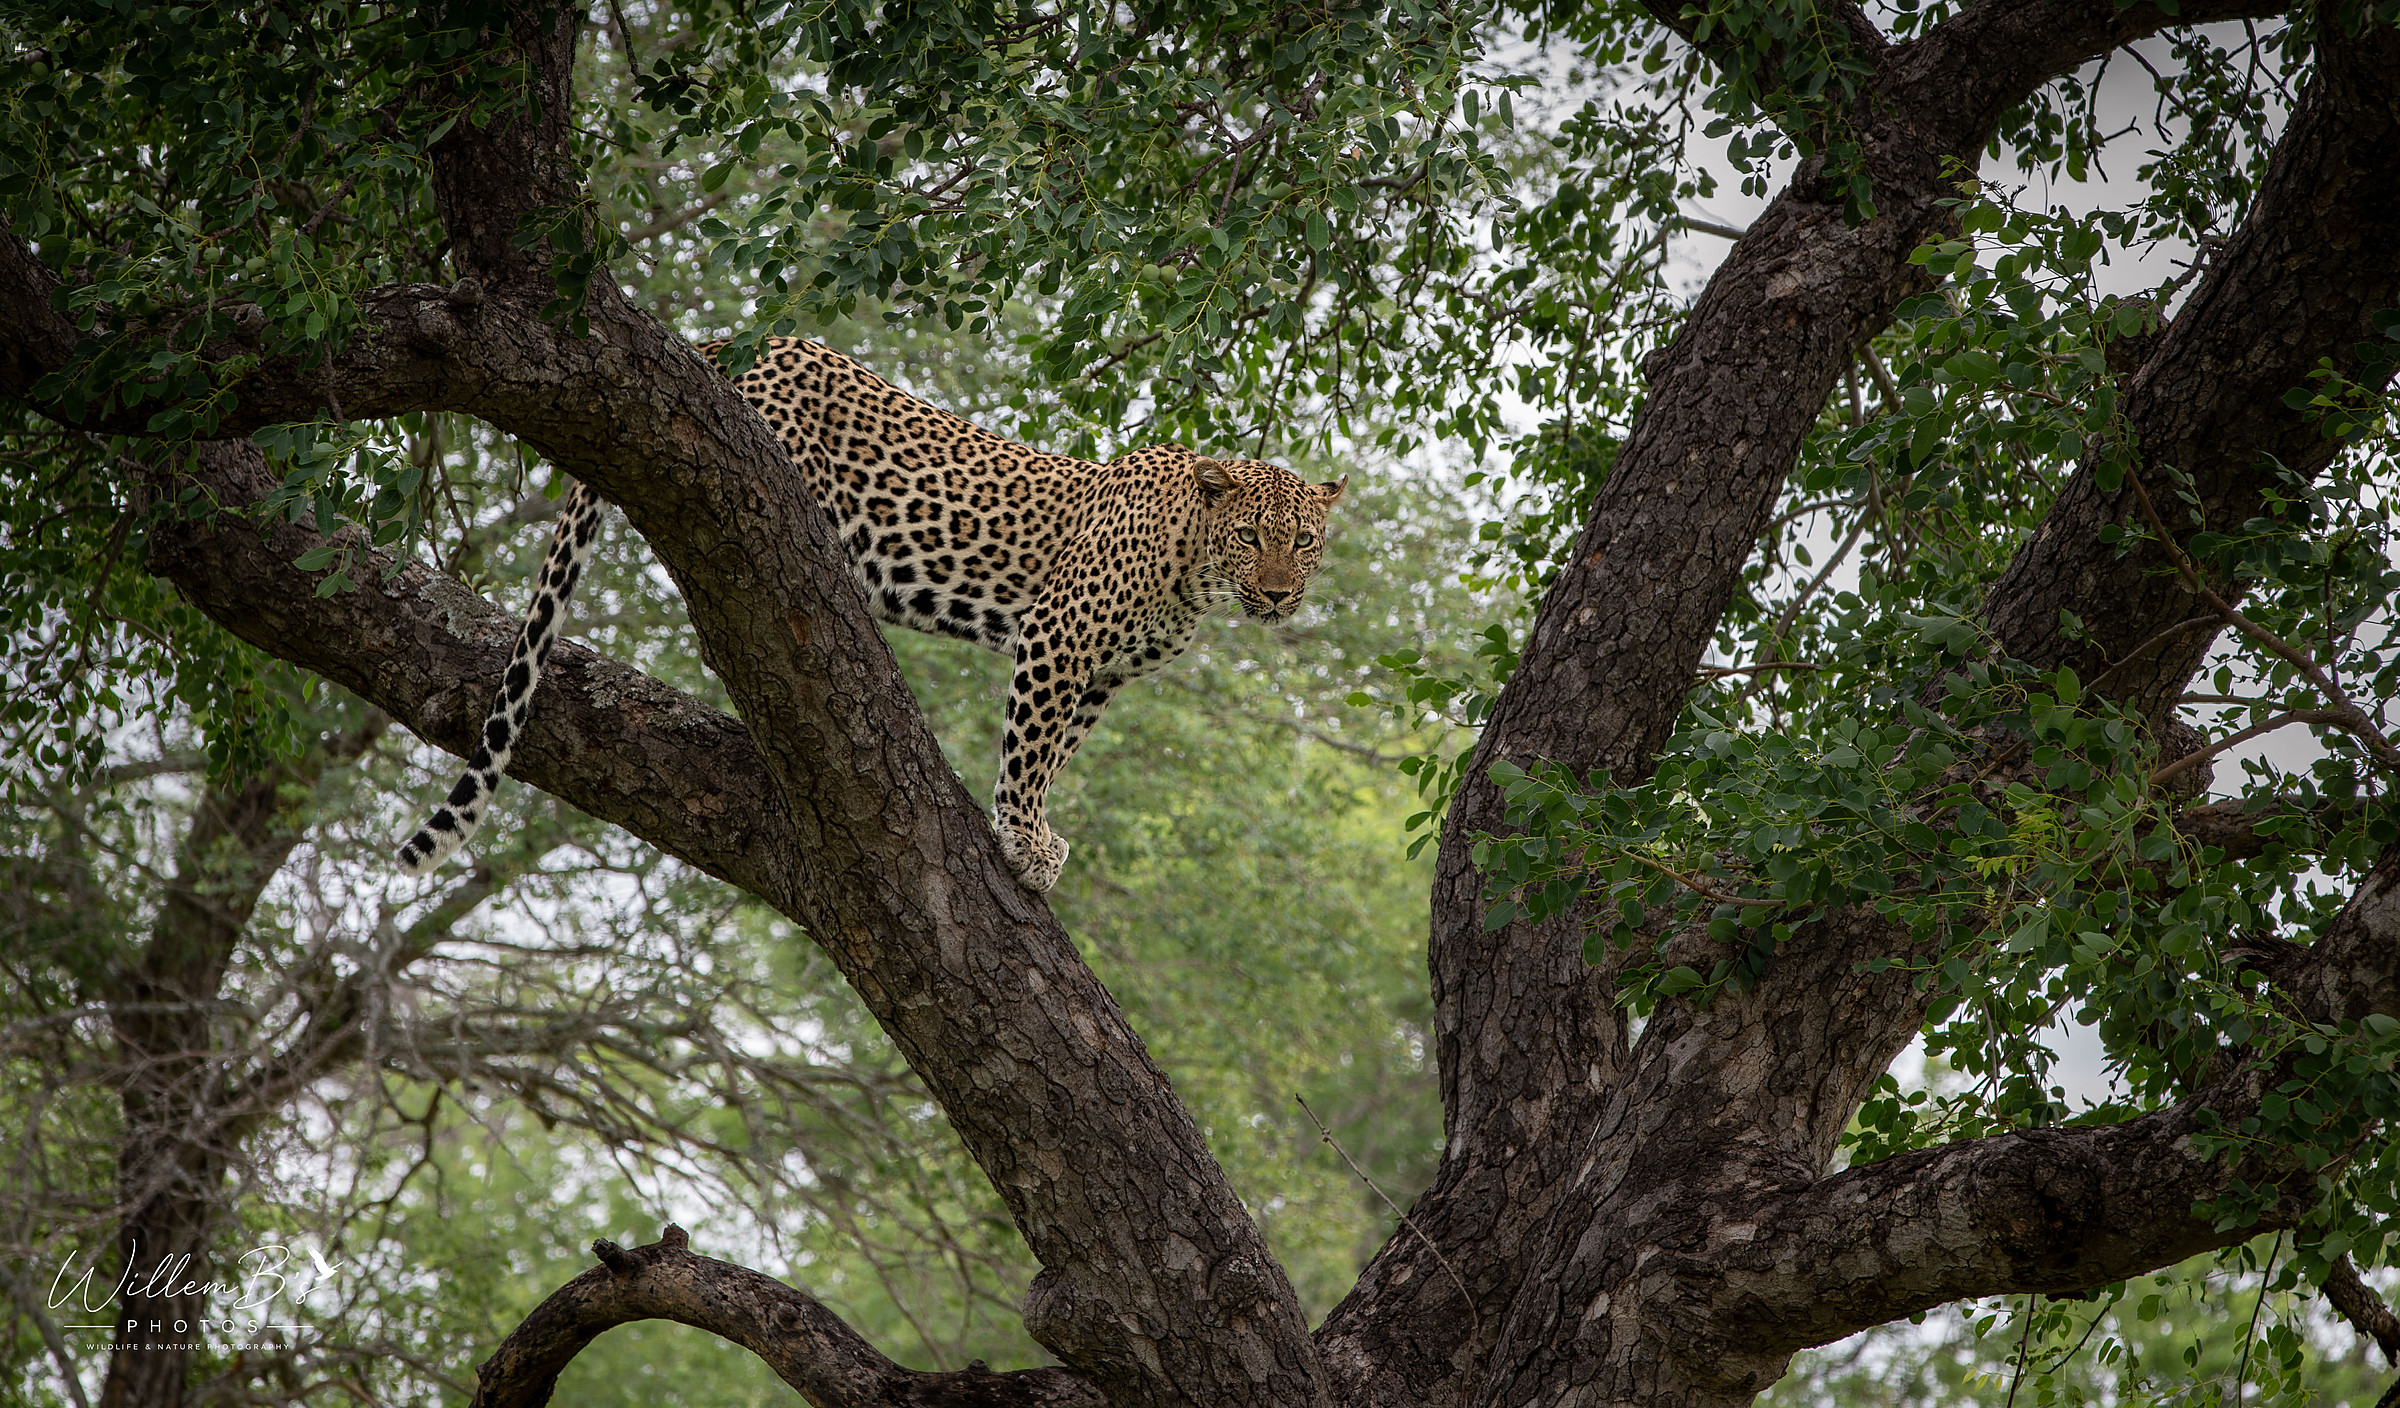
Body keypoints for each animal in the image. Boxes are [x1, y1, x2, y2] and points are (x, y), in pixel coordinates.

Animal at [397, 336, 1346, 892]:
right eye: (1252, 536)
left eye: (1303, 542)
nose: (1277, 593)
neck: (1195, 571)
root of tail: (739, 337)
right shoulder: (1061, 637)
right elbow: (1031, 748)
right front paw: (1024, 840)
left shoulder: (1104, 675)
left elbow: (1057, 752)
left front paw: (1030, 828)